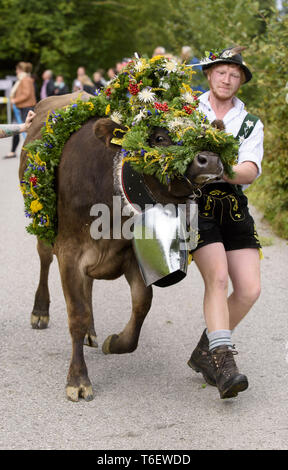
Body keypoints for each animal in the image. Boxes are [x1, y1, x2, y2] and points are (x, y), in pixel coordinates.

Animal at [19, 91, 224, 400]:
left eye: (204, 133)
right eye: (159, 137)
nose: (209, 159)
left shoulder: (130, 254)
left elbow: (141, 306)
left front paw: (114, 342)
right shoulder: (69, 252)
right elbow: (76, 314)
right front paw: (78, 380)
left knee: (89, 286)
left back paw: (91, 331)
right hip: (44, 224)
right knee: (44, 260)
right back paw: (40, 312)